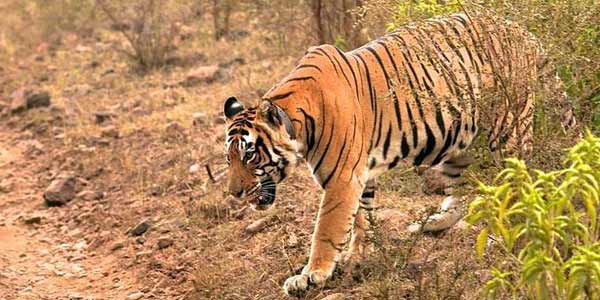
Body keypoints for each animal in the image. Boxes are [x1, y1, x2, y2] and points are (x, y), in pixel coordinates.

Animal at [223, 12, 576, 296]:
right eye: (229, 159)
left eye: (250, 155)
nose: (235, 193)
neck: (299, 120)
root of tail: (520, 30)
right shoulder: (359, 173)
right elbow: (361, 216)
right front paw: (358, 255)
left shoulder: (341, 178)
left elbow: (327, 229)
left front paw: (312, 275)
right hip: (458, 140)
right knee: (460, 189)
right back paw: (430, 223)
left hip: (507, 129)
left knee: (519, 181)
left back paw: (505, 234)